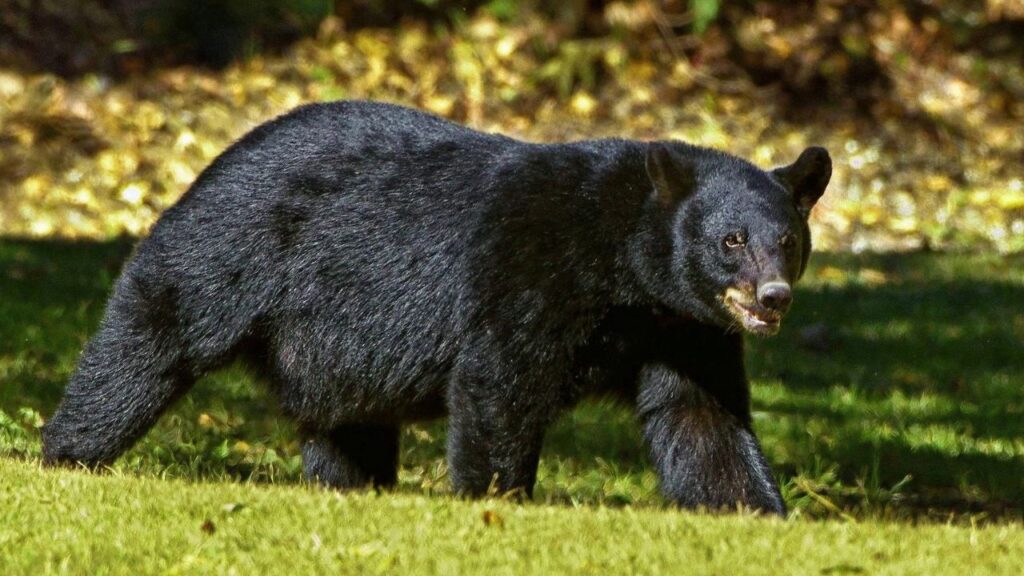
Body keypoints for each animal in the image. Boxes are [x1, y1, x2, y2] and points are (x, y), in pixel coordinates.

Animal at [42, 100, 831, 515]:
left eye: (787, 241)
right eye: (731, 240)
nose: (773, 296)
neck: (624, 269)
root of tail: (216, 158)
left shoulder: (682, 327)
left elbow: (701, 417)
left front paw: (756, 511)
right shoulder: (530, 272)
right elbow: (499, 384)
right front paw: (497, 501)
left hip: (332, 348)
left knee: (346, 425)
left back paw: (352, 487)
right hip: (228, 250)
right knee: (150, 340)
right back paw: (67, 453)